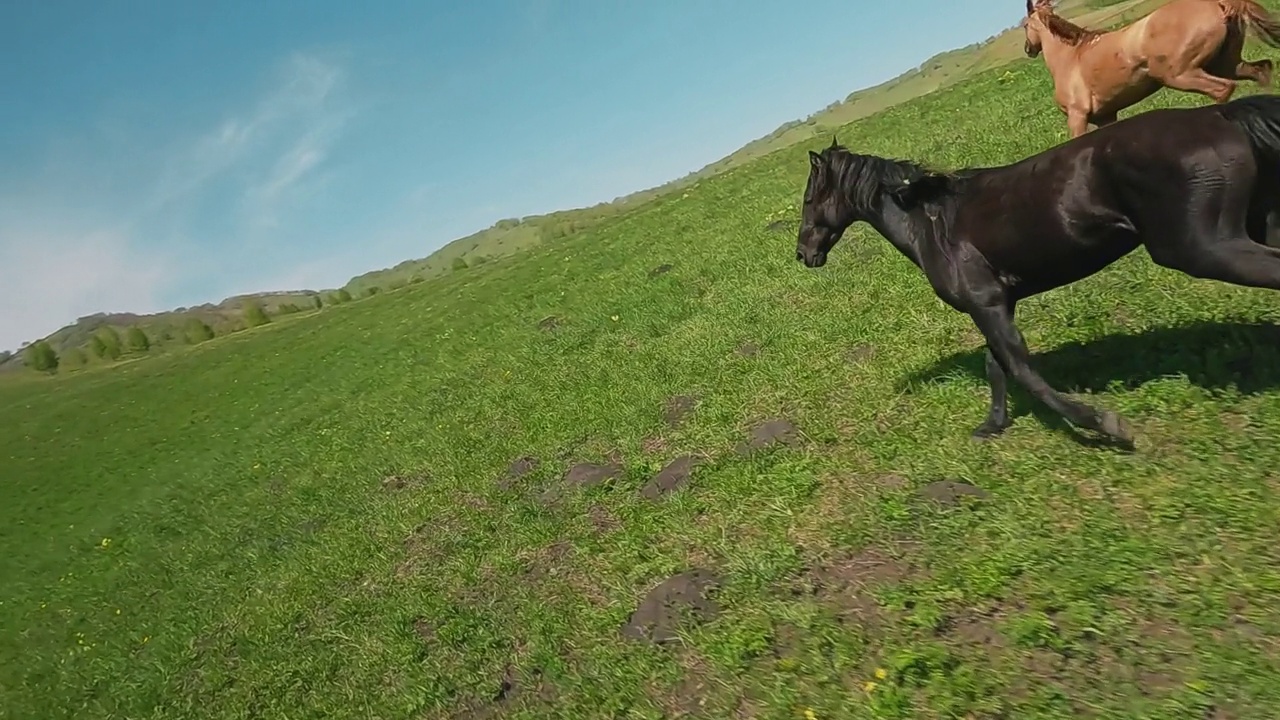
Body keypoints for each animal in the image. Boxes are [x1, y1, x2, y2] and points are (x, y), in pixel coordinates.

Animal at [798, 92, 1280, 445]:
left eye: (807, 199)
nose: (803, 254)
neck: (932, 222)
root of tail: (1219, 113)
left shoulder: (986, 304)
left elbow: (1021, 371)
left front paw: (1104, 424)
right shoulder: (995, 303)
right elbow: (996, 366)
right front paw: (991, 426)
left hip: (1202, 248)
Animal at [1024, 0, 1280, 136]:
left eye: (1025, 25)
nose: (1029, 49)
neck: (1070, 58)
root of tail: (1218, 4)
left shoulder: (1077, 116)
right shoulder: (1106, 116)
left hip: (1179, 74)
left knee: (1222, 90)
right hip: (1225, 64)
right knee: (1261, 70)